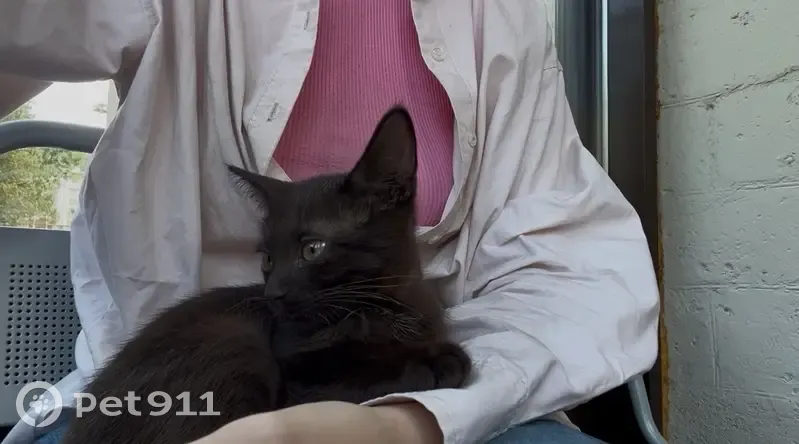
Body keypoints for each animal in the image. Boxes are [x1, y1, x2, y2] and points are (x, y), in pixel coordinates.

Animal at [61, 106, 472, 444]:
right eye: (268, 258)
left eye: (312, 249)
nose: (273, 293)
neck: (380, 308)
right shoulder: (297, 381)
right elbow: (360, 375)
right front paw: (433, 363)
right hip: (235, 340)